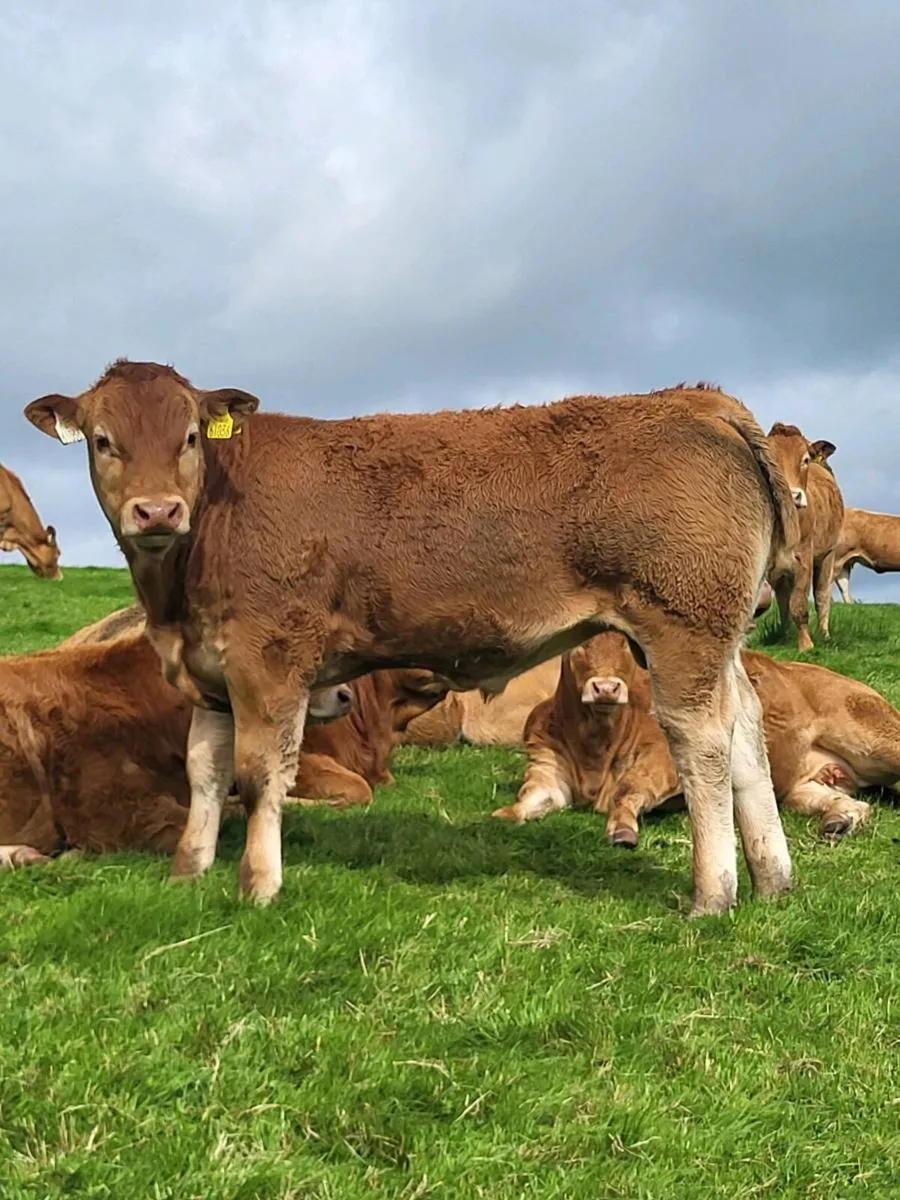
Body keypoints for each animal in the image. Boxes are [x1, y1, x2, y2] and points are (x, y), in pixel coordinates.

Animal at [25, 362, 800, 917]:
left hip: (681, 627)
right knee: (746, 728)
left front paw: (257, 885)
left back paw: (713, 894)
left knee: (702, 741)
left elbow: (261, 771)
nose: (157, 510)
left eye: (189, 437)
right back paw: (773, 877)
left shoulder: (269, 659)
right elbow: (205, 772)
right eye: (103, 441)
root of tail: (698, 402)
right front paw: (189, 872)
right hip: (716, 638)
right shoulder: (210, 671)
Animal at [498, 632, 898, 844]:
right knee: (850, 802)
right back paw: (839, 819)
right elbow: (529, 799)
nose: (607, 687)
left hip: (875, 739)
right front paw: (503, 817)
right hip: (803, 783)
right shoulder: (547, 770)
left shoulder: (663, 761)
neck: (595, 748)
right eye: (577, 646)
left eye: (626, 646)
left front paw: (623, 828)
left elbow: (628, 789)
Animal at [765, 423, 844, 652]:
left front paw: (805, 644)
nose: (793, 495)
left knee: (822, 595)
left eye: (805, 459)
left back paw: (824, 634)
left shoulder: (804, 558)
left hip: (828, 555)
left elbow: (799, 603)